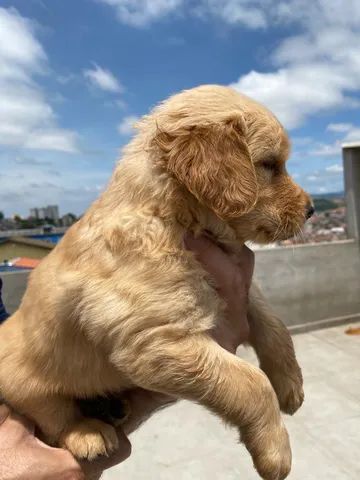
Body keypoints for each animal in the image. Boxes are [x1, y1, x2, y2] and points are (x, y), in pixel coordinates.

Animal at [0, 85, 310, 480]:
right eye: (270, 164)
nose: (311, 210)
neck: (173, 217)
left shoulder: (239, 288)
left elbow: (274, 324)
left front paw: (290, 384)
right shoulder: (155, 340)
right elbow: (250, 381)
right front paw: (276, 451)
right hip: (22, 378)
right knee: (52, 413)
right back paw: (87, 432)